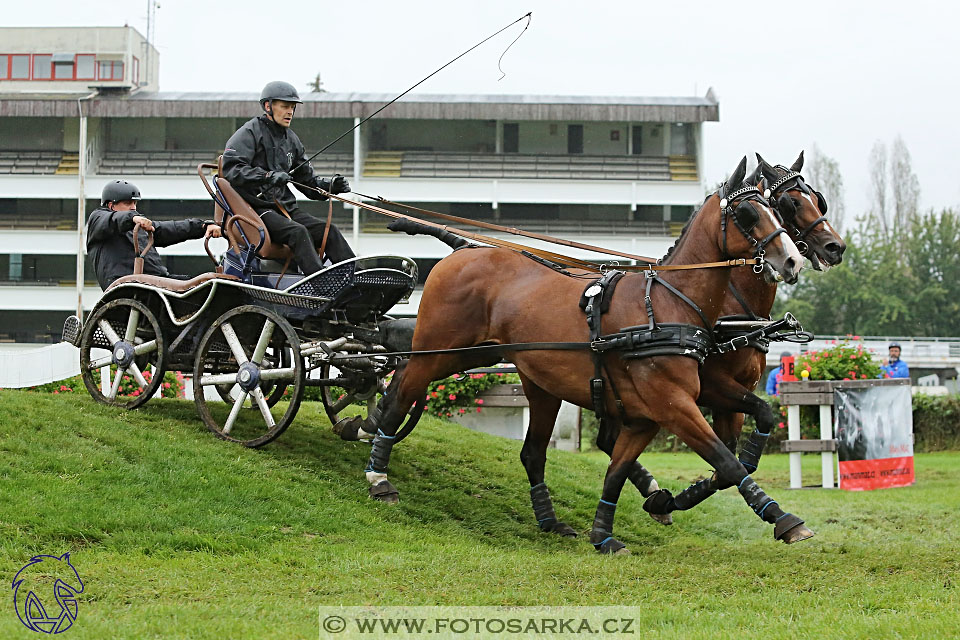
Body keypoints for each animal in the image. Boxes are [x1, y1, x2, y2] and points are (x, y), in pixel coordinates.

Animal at [344, 158, 808, 552]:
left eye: (775, 208)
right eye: (749, 213)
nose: (793, 261)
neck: (667, 305)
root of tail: (462, 251)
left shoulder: (649, 413)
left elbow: (618, 471)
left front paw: (607, 532)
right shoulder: (674, 404)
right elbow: (726, 461)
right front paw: (782, 519)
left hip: (506, 370)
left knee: (526, 449)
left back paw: (548, 519)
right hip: (440, 352)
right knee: (401, 392)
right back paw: (378, 474)